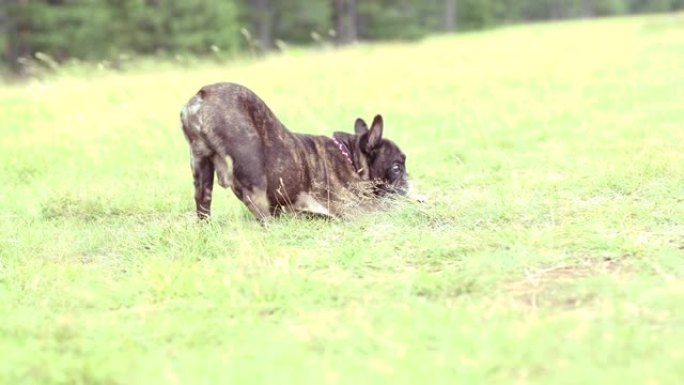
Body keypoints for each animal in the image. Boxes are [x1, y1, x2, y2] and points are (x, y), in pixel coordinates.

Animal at [179, 82, 408, 220]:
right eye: (397, 167)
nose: (408, 181)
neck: (351, 157)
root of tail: (202, 96)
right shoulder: (357, 208)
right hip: (253, 171)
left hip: (201, 167)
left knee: (202, 202)